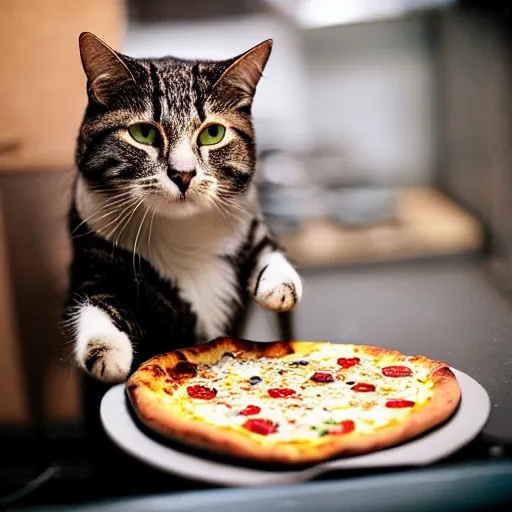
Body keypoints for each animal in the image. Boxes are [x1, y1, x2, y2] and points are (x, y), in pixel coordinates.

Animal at [63, 32, 304, 384]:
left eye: (213, 133)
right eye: (144, 133)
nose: (183, 173)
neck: (182, 228)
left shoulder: (250, 221)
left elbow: (268, 250)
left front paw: (279, 288)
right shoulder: (92, 252)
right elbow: (96, 298)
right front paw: (106, 350)